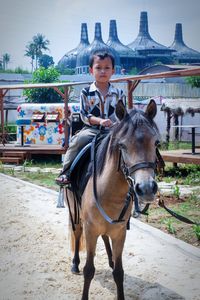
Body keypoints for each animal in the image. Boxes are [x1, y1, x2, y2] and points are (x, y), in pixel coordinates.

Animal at [65, 100, 159, 300]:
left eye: (156, 143)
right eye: (122, 145)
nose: (146, 188)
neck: (109, 192)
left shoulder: (119, 232)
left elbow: (119, 272)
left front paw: (115, 266)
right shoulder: (90, 230)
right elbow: (89, 270)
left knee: (104, 237)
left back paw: (109, 259)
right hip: (74, 210)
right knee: (77, 233)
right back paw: (75, 263)